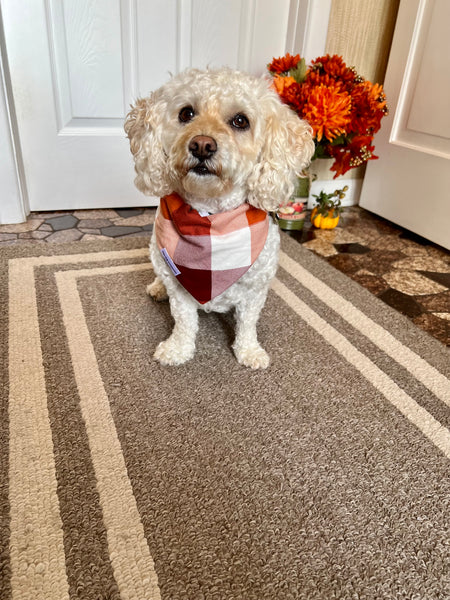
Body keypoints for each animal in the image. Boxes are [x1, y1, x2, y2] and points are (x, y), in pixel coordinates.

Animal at [124, 69, 312, 370]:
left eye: (240, 121)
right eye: (186, 113)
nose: (202, 145)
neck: (212, 221)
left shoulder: (255, 289)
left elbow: (247, 324)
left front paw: (249, 352)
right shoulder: (179, 287)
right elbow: (184, 321)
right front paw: (178, 349)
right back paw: (157, 288)